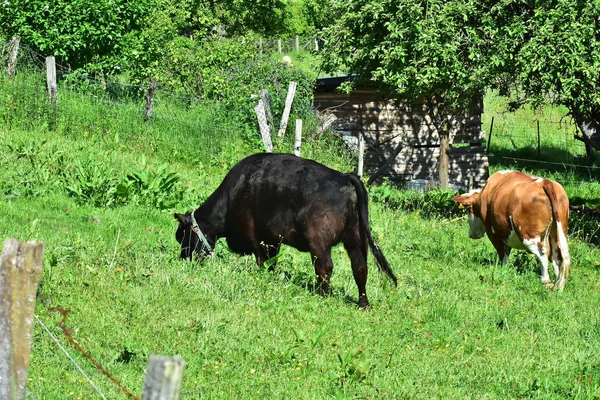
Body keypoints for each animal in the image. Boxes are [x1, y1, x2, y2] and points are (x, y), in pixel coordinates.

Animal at [176, 152, 396, 308]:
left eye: (182, 236)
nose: (183, 259)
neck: (232, 195)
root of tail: (345, 177)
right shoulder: (272, 239)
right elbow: (272, 261)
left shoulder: (253, 235)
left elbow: (261, 260)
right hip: (356, 238)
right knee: (360, 268)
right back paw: (363, 304)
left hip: (319, 241)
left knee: (325, 267)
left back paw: (321, 296)